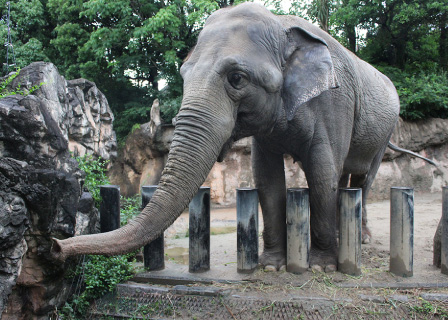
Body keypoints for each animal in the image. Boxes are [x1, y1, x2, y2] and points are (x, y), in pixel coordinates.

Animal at [50, 3, 408, 272]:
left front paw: (321, 266)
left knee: (360, 178)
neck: (282, 25)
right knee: (347, 177)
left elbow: (321, 173)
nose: (55, 246)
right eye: (183, 75)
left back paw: (360, 239)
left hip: (385, 128)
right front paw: (271, 265)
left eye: (237, 78)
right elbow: (267, 178)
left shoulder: (335, 103)